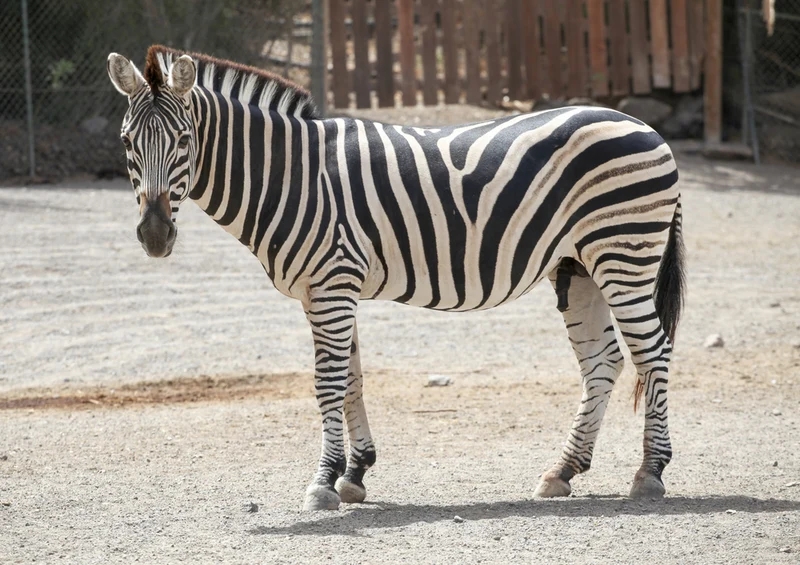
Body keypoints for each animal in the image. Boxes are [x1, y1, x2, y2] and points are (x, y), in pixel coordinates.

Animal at [107, 45, 686, 511]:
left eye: (184, 140)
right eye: (127, 141)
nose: (154, 236)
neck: (290, 176)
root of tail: (645, 127)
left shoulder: (332, 284)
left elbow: (327, 382)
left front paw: (322, 482)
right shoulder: (327, 290)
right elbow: (351, 379)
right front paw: (355, 473)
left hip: (624, 254)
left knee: (651, 352)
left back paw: (650, 472)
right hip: (577, 266)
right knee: (603, 361)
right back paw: (562, 471)